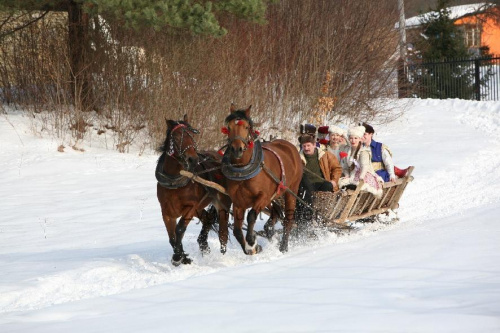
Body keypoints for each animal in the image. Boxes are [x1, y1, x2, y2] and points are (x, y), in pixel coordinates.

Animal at [155, 114, 231, 264]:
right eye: (176, 137)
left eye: (192, 135)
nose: (193, 159)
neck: (175, 182)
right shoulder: (166, 212)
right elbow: (171, 237)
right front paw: (182, 257)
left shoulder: (190, 207)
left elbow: (179, 229)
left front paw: (178, 257)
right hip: (200, 207)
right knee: (207, 219)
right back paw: (203, 244)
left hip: (221, 202)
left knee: (223, 231)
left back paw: (223, 255)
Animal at [222, 104, 300, 252]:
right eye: (228, 127)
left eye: (247, 127)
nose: (236, 149)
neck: (243, 170)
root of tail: (290, 146)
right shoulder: (238, 202)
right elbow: (236, 230)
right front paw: (251, 249)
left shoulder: (262, 197)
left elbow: (251, 215)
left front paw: (251, 240)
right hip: (273, 197)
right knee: (275, 212)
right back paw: (269, 230)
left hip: (291, 191)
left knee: (288, 219)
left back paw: (283, 246)